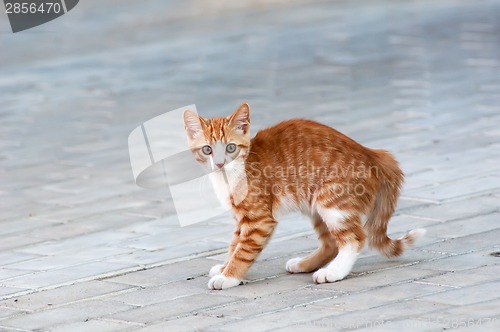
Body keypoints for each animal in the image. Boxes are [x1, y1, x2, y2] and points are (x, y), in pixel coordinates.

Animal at [182, 102, 424, 290]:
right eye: (207, 150)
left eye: (230, 148)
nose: (219, 164)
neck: (230, 177)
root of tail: (373, 154)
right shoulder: (241, 220)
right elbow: (234, 245)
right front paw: (224, 267)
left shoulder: (259, 220)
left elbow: (243, 250)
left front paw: (229, 276)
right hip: (316, 207)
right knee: (331, 243)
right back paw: (304, 264)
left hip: (331, 201)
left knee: (354, 239)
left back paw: (334, 272)